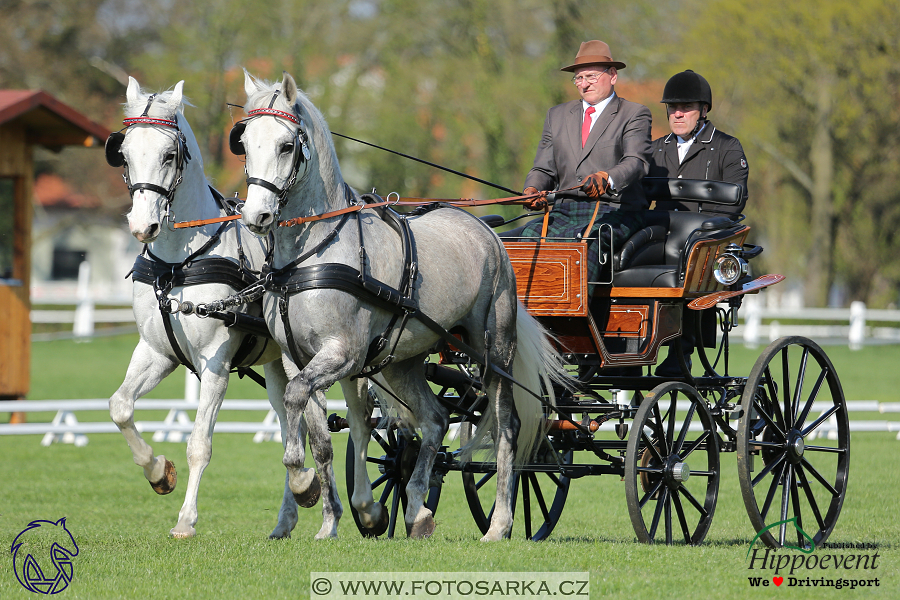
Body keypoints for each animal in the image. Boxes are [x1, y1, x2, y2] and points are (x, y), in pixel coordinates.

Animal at [107, 77, 340, 540]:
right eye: (124, 153)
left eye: (169, 154)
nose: (143, 226)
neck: (177, 263)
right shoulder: (156, 352)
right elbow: (120, 407)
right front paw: (158, 472)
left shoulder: (214, 363)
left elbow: (199, 443)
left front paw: (185, 519)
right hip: (278, 366)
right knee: (291, 427)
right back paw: (291, 508)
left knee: (323, 427)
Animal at [234, 72, 568, 540]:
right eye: (245, 142)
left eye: (286, 145)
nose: (256, 217)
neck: (310, 255)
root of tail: (486, 231)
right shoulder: (296, 357)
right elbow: (319, 438)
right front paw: (329, 519)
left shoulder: (343, 353)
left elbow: (298, 398)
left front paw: (300, 482)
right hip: (401, 361)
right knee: (435, 420)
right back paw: (416, 510)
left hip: (494, 352)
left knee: (507, 427)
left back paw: (499, 523)